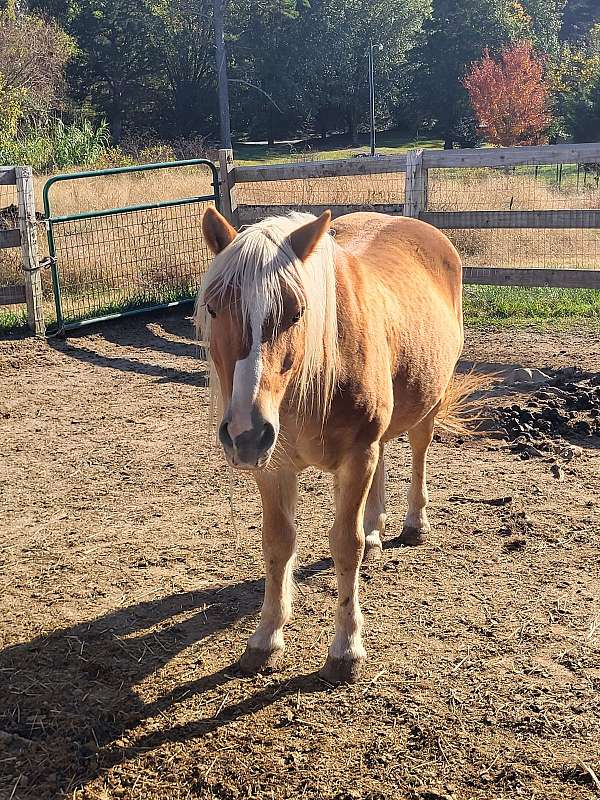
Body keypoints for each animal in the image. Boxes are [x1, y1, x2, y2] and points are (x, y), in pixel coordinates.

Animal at [196, 205, 464, 680]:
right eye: (213, 307)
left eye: (296, 313)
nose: (245, 432)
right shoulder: (274, 466)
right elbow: (278, 543)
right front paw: (266, 638)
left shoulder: (356, 456)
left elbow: (344, 545)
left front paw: (346, 649)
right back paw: (376, 529)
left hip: (427, 404)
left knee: (417, 451)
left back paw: (414, 522)